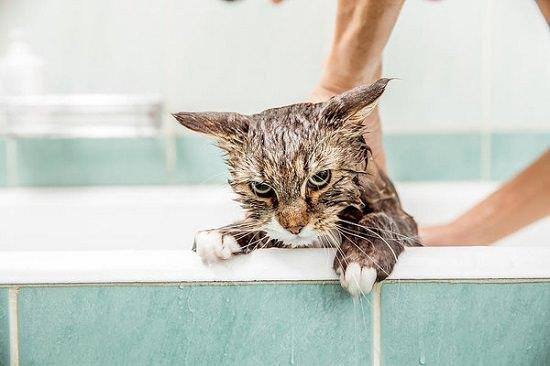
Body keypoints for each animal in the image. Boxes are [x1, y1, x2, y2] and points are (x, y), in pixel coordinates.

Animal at [175, 78, 420, 296]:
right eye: (261, 188)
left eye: (320, 177)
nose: (294, 228)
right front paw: (226, 233)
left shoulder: (402, 219)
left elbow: (382, 219)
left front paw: (362, 256)